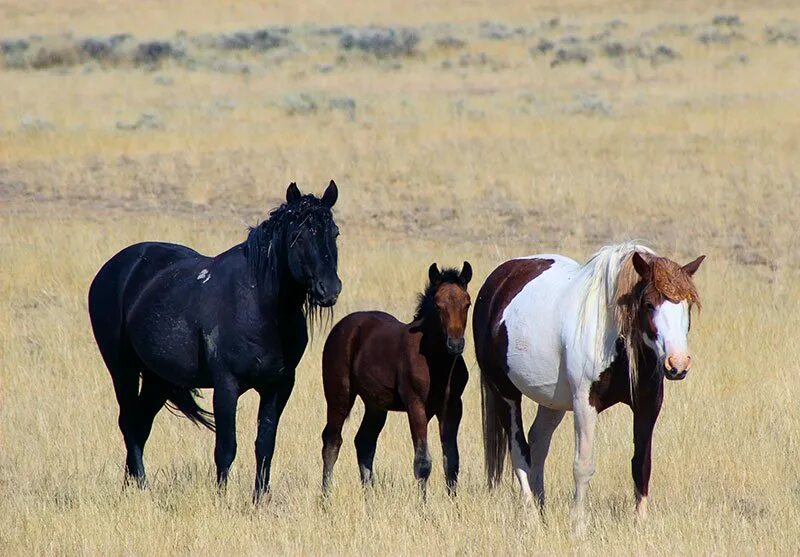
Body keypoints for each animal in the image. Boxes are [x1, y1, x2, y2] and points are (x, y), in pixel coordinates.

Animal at [89, 181, 342, 500]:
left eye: (334, 233)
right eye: (298, 236)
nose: (329, 289)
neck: (260, 306)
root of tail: (112, 268)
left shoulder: (279, 385)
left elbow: (265, 445)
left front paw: (260, 499)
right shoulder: (226, 385)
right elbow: (226, 448)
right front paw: (222, 499)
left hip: (158, 378)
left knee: (140, 423)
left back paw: (132, 485)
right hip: (123, 369)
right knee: (128, 423)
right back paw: (140, 486)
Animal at [320, 262, 472, 498]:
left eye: (467, 304)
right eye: (438, 305)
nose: (455, 345)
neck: (438, 363)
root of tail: (342, 327)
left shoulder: (453, 407)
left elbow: (452, 461)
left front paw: (454, 502)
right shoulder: (415, 406)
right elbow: (422, 462)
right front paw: (423, 504)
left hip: (375, 405)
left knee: (364, 441)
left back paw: (369, 497)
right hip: (339, 396)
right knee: (332, 441)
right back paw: (327, 497)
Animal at [476, 242, 708, 524]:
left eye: (687, 305)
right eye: (649, 304)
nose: (678, 364)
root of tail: (499, 279)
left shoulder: (648, 405)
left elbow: (642, 464)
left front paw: (640, 522)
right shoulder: (585, 404)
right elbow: (582, 465)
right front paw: (578, 524)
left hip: (551, 401)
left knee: (538, 442)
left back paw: (542, 510)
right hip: (506, 393)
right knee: (519, 451)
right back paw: (531, 517)